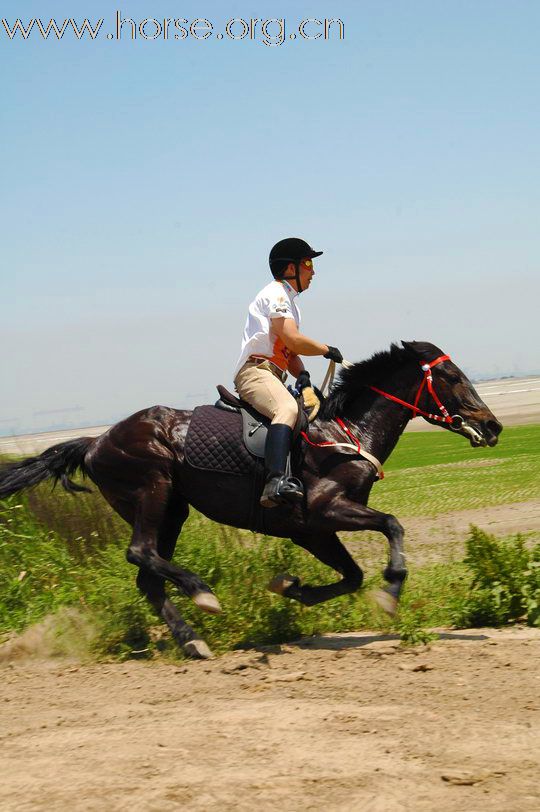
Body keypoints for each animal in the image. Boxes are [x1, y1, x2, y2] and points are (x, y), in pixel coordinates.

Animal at [0, 340, 502, 656]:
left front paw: (292, 587)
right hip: (153, 492)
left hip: (173, 510)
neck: (346, 433)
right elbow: (392, 524)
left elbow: (352, 575)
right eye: (452, 376)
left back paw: (192, 640)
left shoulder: (312, 530)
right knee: (140, 552)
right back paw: (201, 593)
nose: (494, 426)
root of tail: (97, 440)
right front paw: (391, 591)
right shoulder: (325, 511)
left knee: (148, 577)